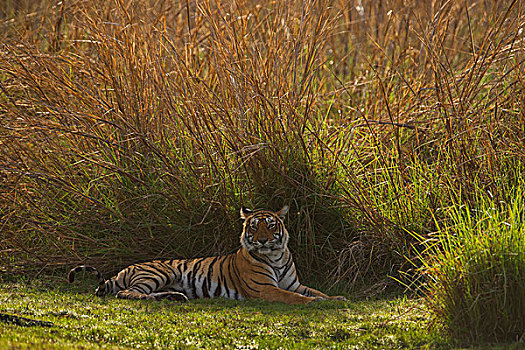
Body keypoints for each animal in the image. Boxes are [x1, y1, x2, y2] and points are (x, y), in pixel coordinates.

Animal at [70, 206, 348, 304]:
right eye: (253, 227)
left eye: (270, 226)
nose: (262, 240)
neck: (276, 256)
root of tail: (124, 269)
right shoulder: (265, 289)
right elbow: (295, 298)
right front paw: (318, 303)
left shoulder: (295, 284)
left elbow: (316, 291)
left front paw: (337, 298)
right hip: (159, 272)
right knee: (128, 293)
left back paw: (176, 296)